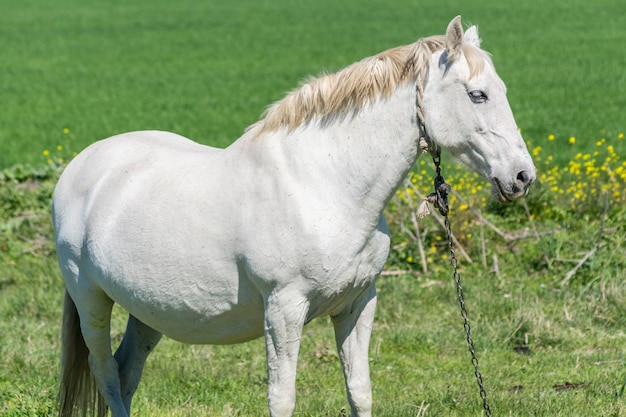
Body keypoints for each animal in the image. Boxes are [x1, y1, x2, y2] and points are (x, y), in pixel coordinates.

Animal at [53, 16, 532, 416]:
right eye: (477, 94)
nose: (522, 176)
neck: (324, 186)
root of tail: (80, 167)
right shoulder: (284, 310)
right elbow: (282, 398)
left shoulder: (359, 304)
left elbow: (359, 391)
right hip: (90, 299)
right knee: (106, 374)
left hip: (148, 311)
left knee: (126, 373)